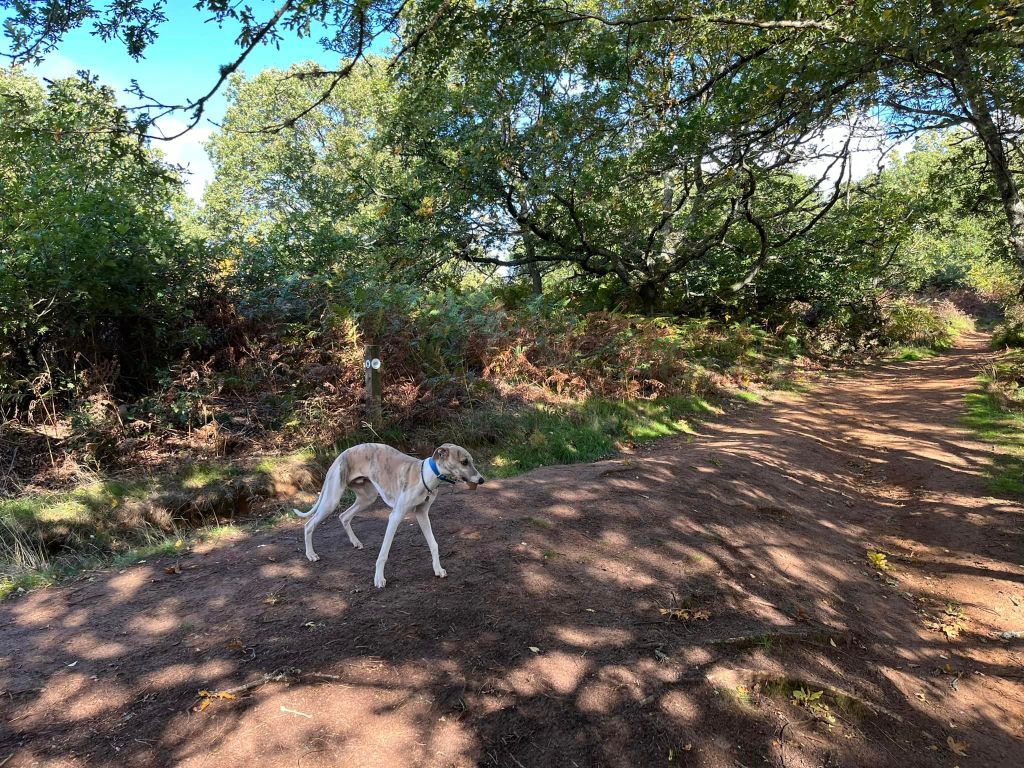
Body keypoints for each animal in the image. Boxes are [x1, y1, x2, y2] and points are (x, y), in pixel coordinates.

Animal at [294, 443, 485, 588]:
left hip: (367, 498)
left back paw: (355, 542)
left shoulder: (422, 513)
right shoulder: (396, 516)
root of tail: (342, 454)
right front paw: (379, 579)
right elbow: (384, 553)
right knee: (309, 524)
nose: (482, 480)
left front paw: (438, 569)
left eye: (471, 461)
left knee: (344, 516)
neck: (427, 475)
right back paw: (311, 554)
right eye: (464, 462)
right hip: (332, 500)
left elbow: (434, 544)